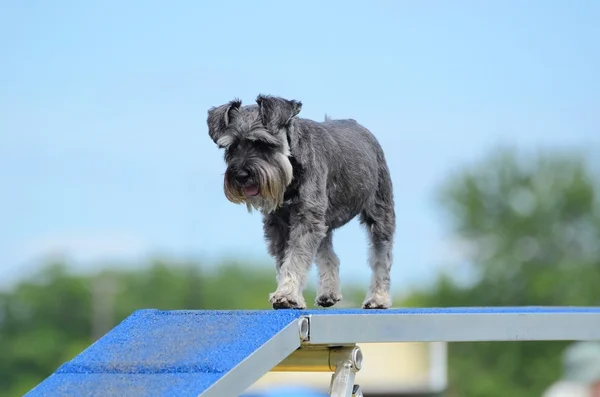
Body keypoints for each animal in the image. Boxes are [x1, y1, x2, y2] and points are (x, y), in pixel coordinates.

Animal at [205, 94, 394, 308]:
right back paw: (328, 293)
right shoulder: (279, 224)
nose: (241, 175)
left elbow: (295, 258)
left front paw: (287, 295)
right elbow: (284, 260)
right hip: (325, 221)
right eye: (232, 146)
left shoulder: (306, 219)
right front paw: (289, 293)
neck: (291, 169)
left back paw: (378, 298)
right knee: (329, 255)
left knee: (381, 257)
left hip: (380, 214)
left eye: (263, 143)